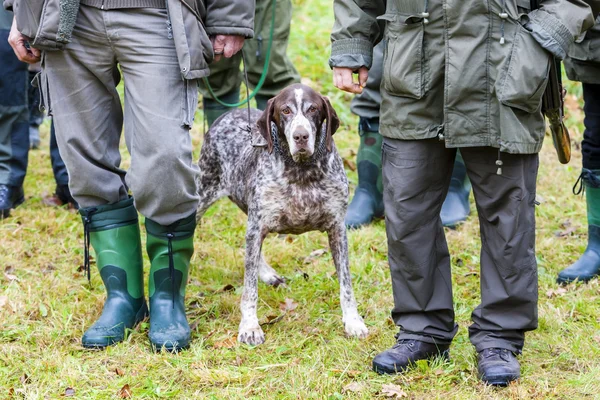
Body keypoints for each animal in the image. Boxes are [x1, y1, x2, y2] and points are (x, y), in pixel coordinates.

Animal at [195, 83, 368, 344]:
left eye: (313, 109)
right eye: (285, 110)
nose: (301, 136)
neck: (302, 171)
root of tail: (227, 115)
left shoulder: (337, 229)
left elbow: (346, 285)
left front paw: (353, 321)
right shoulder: (257, 226)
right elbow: (249, 289)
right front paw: (250, 326)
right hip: (202, 196)